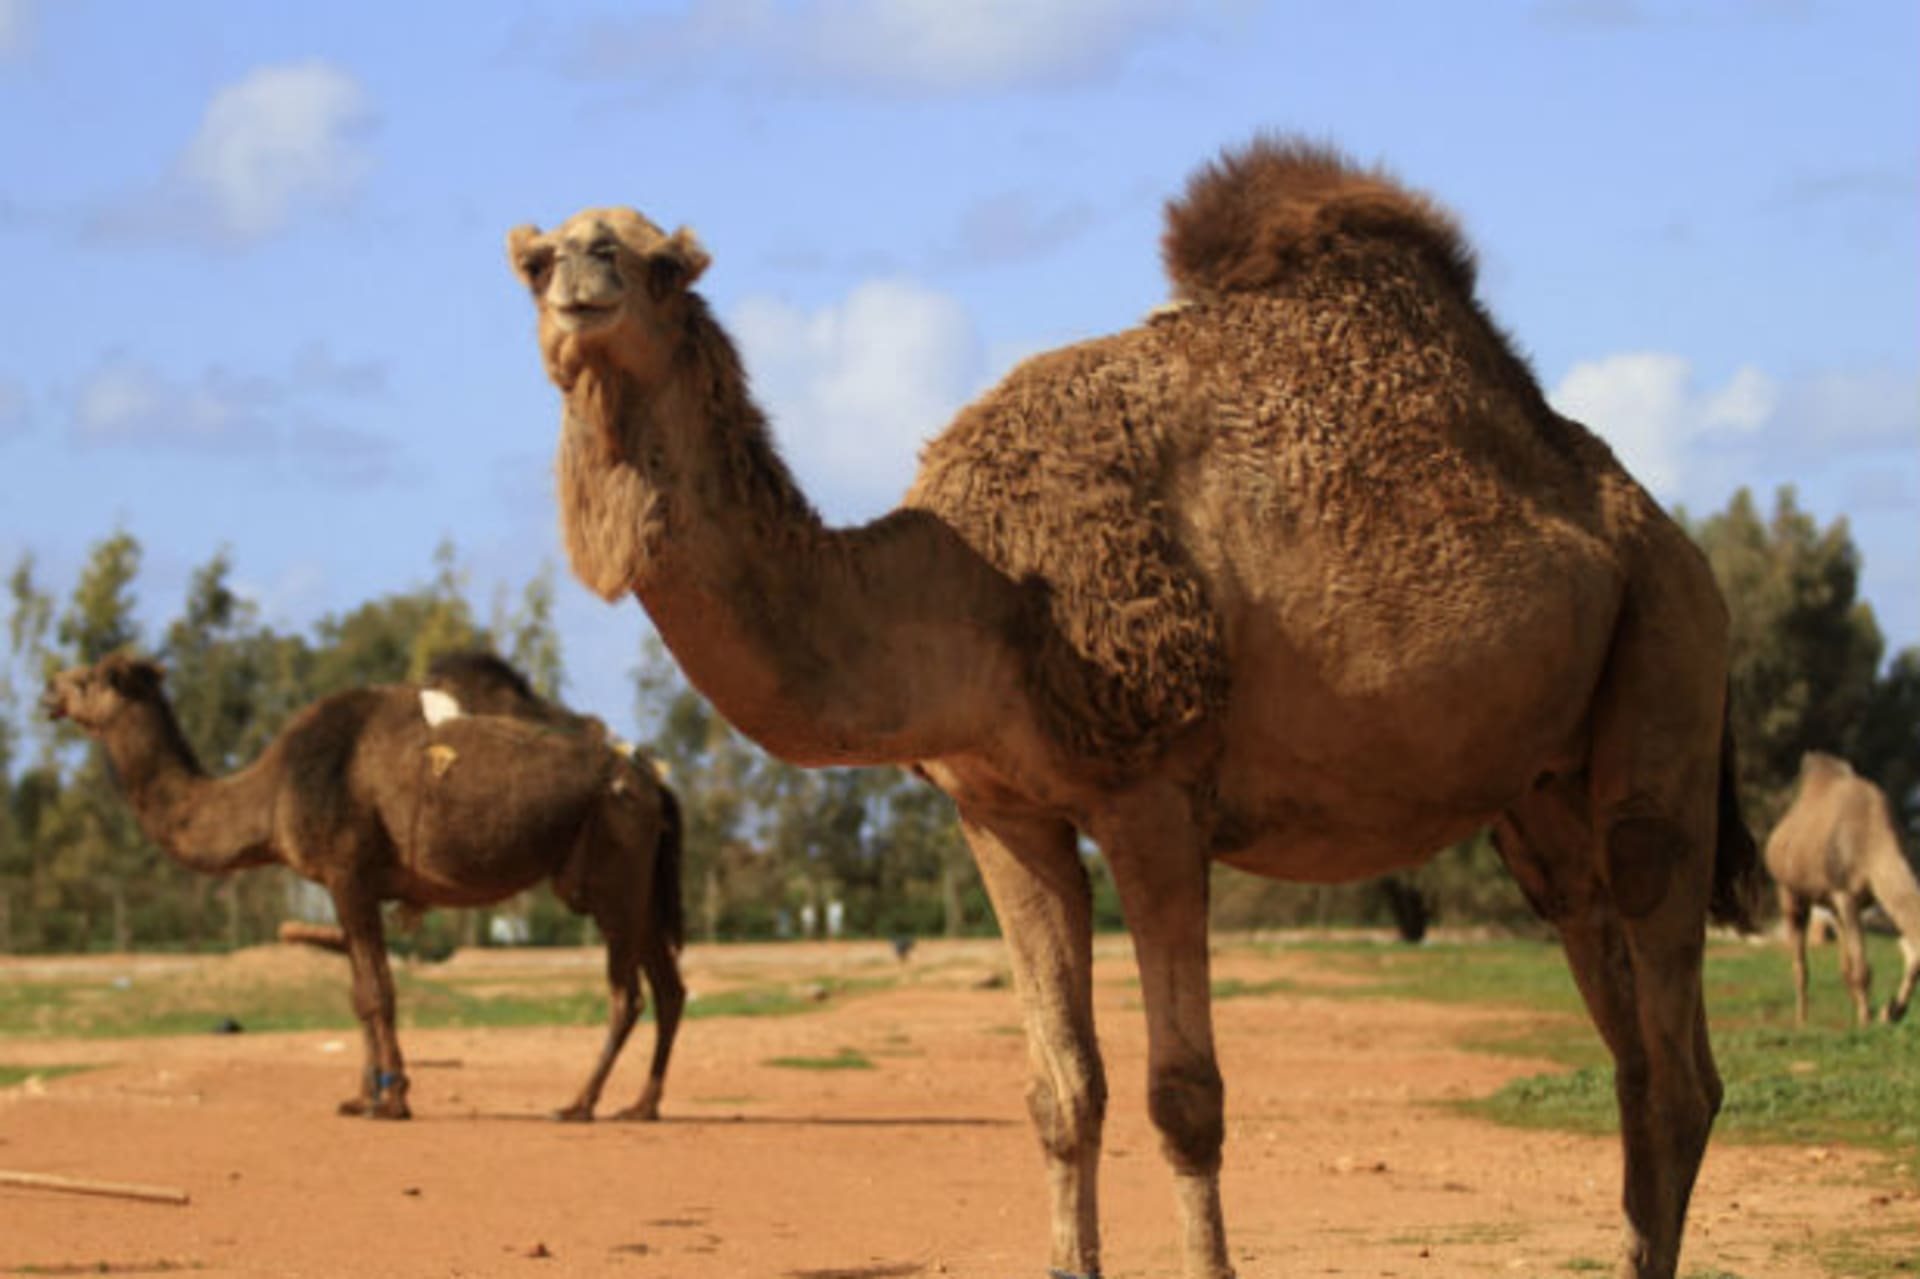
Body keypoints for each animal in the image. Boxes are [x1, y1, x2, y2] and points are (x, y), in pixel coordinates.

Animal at [42, 651, 686, 1122]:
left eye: (92, 677)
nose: (49, 689)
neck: (271, 792)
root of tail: (650, 778)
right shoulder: (349, 884)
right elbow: (361, 993)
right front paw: (363, 1096)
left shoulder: (348, 873)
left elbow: (377, 993)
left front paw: (393, 1098)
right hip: (639, 884)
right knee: (671, 988)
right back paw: (642, 1105)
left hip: (613, 871)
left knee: (627, 994)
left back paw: (579, 1103)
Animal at [508, 137, 1761, 1279]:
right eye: (537, 260)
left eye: (660, 263)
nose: (585, 274)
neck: (980, 584)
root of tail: (1659, 528)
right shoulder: (1001, 811)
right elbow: (1062, 1092)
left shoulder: (1155, 789)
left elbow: (1184, 1097)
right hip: (1544, 796)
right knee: (1626, 1031)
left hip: (1669, 664)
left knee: (1679, 1039)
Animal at [1765, 751, 1920, 1026]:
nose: (1891, 1010)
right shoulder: (1845, 893)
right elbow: (1863, 967)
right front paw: (1867, 1019)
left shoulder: (1873, 898)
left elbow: (1906, 951)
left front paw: (1890, 1011)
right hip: (1789, 892)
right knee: (1800, 963)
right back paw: (1801, 1020)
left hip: (1831, 905)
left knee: (1843, 955)